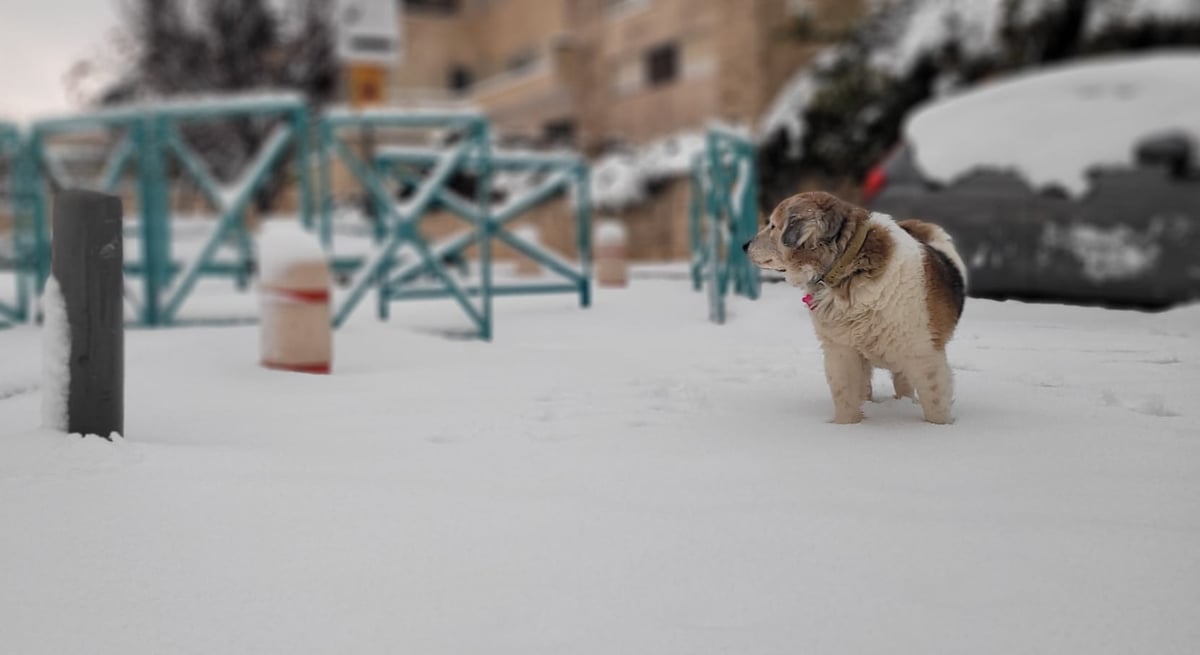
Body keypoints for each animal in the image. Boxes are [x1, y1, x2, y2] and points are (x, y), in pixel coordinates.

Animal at [744, 189, 969, 422]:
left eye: (772, 225)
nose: (744, 245)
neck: (848, 268)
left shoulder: (923, 354)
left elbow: (935, 402)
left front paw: (938, 427)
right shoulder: (842, 352)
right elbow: (846, 396)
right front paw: (847, 425)